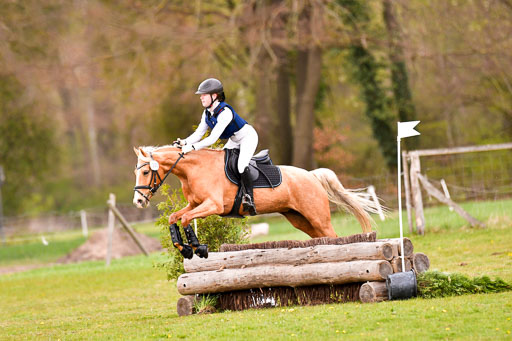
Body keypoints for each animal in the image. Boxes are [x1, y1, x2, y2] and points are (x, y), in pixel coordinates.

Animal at [134, 145, 378, 238]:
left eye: (145, 172)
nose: (138, 201)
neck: (194, 169)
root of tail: (311, 175)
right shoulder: (195, 205)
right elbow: (175, 217)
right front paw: (182, 246)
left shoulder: (213, 205)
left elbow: (185, 219)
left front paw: (195, 248)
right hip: (300, 219)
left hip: (318, 217)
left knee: (333, 237)